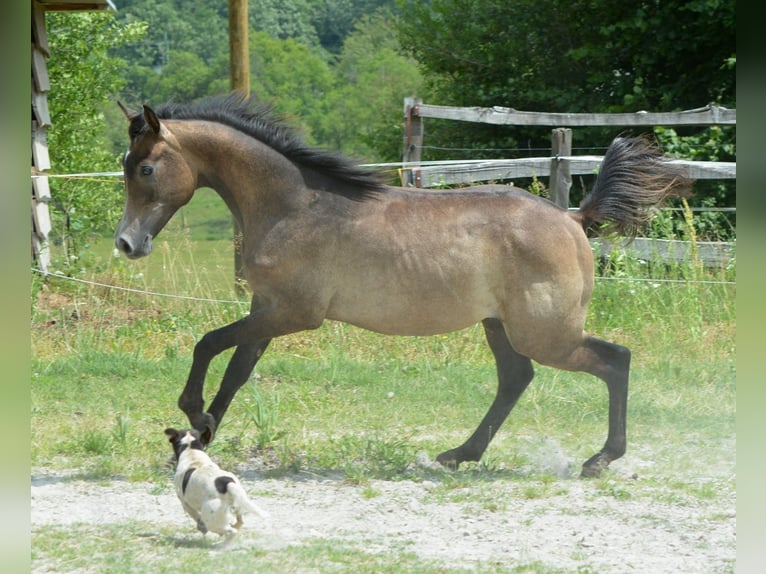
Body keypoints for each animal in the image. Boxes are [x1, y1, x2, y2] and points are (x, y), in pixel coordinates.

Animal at [115, 94, 689, 478]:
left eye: (145, 168)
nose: (126, 244)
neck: (293, 206)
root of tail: (572, 218)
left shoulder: (291, 313)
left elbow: (207, 343)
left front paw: (196, 415)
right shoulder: (267, 310)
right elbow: (235, 371)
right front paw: (203, 435)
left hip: (547, 333)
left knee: (614, 360)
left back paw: (600, 459)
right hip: (501, 325)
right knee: (516, 378)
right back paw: (460, 455)